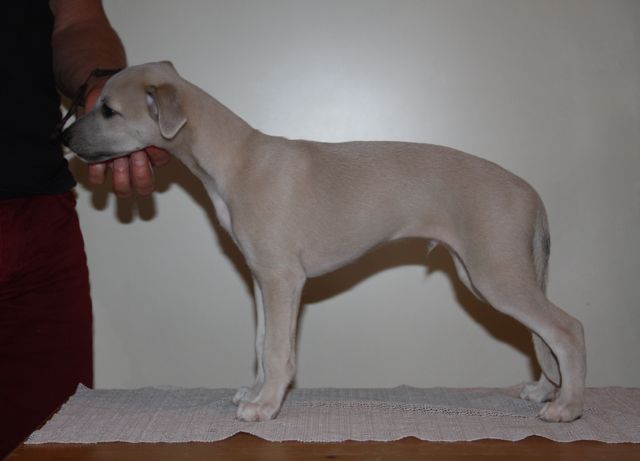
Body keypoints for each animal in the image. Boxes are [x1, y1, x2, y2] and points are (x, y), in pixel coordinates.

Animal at [62, 61, 586, 423]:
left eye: (108, 110)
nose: (63, 137)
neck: (236, 158)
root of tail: (530, 193)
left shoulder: (283, 278)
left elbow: (278, 349)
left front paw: (266, 406)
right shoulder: (262, 277)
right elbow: (261, 341)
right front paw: (255, 392)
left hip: (496, 274)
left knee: (566, 329)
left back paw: (567, 407)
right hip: (486, 274)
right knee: (544, 334)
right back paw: (546, 390)